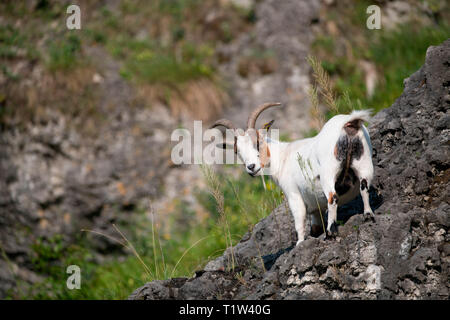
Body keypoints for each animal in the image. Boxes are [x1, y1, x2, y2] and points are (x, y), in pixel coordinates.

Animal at [213, 102, 374, 245]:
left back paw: (330, 233)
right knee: (364, 187)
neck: (283, 156)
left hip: (329, 172)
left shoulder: (293, 194)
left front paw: (300, 243)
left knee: (332, 197)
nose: (251, 167)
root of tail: (349, 123)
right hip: (364, 162)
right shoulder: (315, 205)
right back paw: (368, 216)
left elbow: (299, 220)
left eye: (258, 143)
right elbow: (315, 223)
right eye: (237, 151)